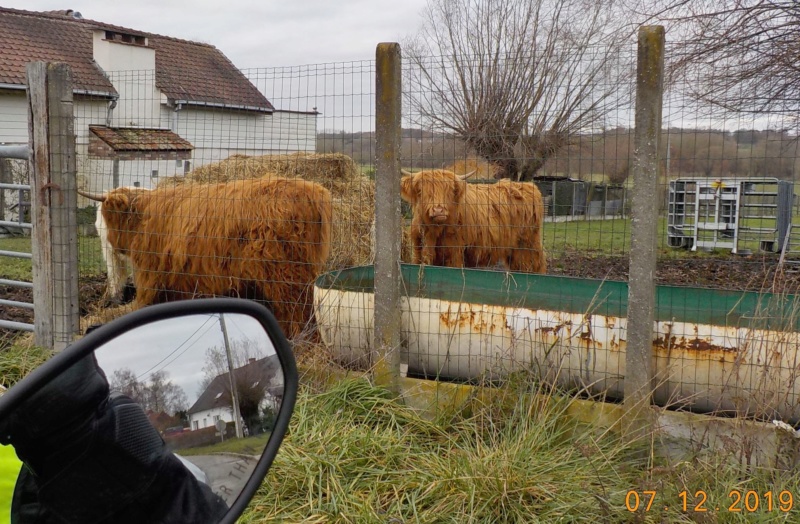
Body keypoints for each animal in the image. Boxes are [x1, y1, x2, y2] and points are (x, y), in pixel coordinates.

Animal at [398, 169, 548, 274]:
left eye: (450, 191)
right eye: (421, 190)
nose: (438, 210)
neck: (434, 232)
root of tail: (529, 186)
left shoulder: (454, 254)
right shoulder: (418, 251)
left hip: (527, 245)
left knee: (534, 265)